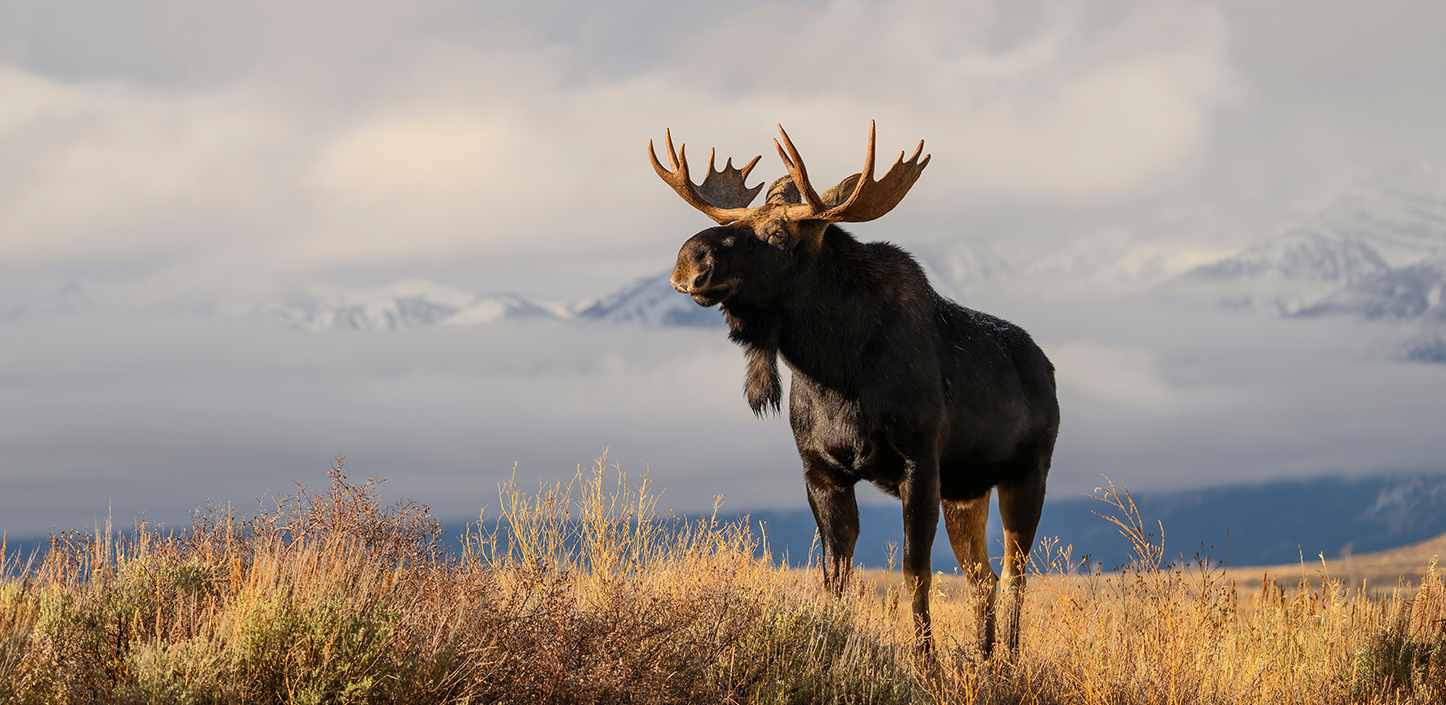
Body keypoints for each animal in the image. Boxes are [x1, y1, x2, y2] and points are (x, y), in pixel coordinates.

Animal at [649, 122, 1060, 657]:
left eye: (778, 233)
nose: (690, 260)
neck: (835, 373)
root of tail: (1048, 370)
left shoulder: (919, 462)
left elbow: (915, 572)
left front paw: (926, 663)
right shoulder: (822, 471)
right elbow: (836, 577)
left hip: (1026, 474)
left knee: (1014, 575)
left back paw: (1007, 661)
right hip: (966, 492)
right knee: (982, 577)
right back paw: (985, 660)